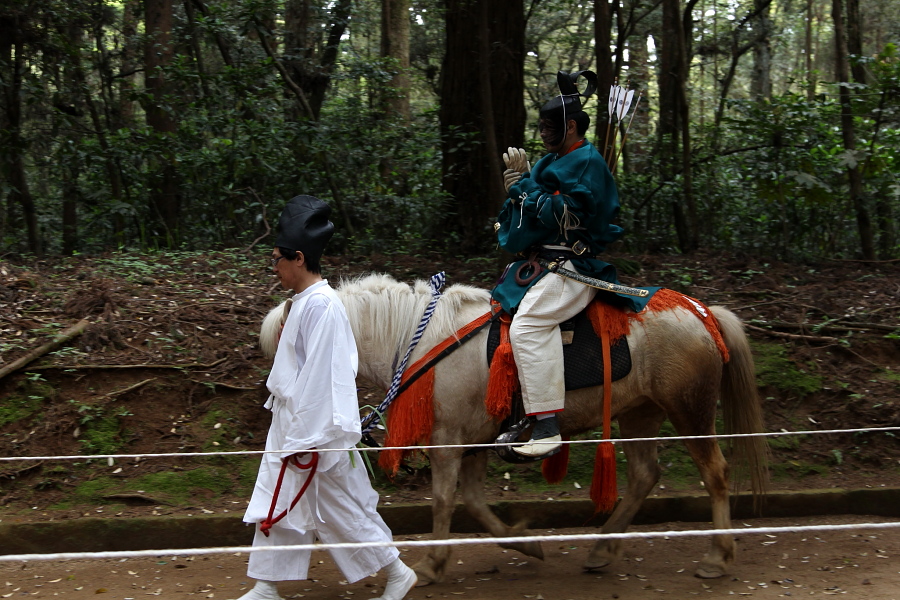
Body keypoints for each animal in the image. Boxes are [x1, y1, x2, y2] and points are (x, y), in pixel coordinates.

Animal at [260, 276, 768, 584]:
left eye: (291, 342)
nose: (276, 400)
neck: (417, 339)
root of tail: (701, 312)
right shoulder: (473, 441)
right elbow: (473, 503)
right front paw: (525, 541)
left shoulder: (449, 441)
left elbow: (444, 501)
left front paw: (431, 563)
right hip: (639, 413)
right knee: (646, 475)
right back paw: (603, 549)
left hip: (688, 411)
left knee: (715, 473)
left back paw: (718, 556)